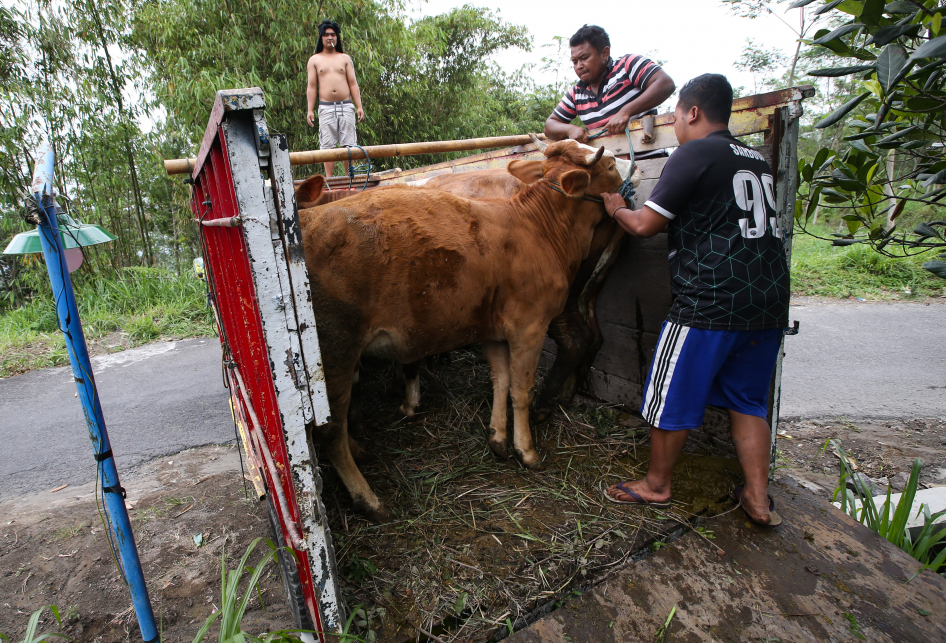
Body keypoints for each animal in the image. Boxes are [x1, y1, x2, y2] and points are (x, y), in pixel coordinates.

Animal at [304, 141, 628, 524]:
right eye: (611, 164)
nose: (632, 175)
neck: (536, 228)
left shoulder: (492, 330)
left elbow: (501, 381)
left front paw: (498, 438)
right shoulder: (529, 327)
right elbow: (521, 390)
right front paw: (527, 450)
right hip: (335, 352)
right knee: (330, 430)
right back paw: (368, 499)